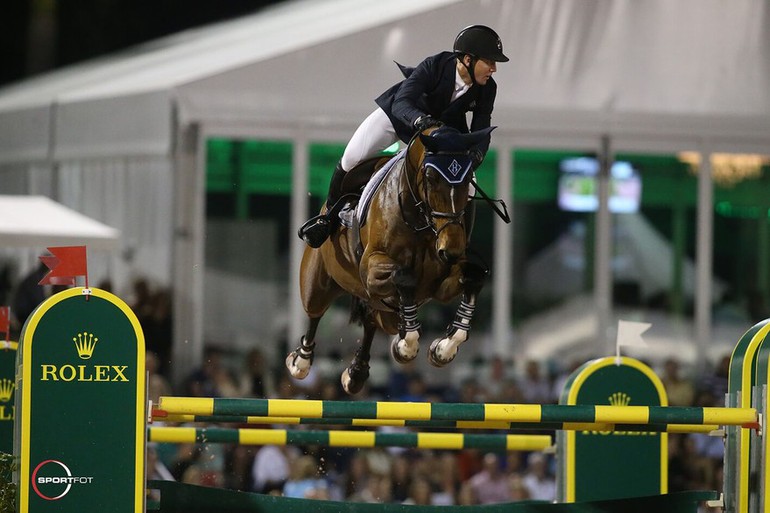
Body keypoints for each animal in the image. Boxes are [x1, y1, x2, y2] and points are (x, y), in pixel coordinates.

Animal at [286, 126, 492, 394]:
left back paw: (356, 374)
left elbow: (474, 277)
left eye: (468, 181)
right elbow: (404, 276)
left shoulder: (438, 285)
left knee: (372, 319)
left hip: (384, 311)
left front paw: (443, 347)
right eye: (430, 178)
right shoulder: (371, 268)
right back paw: (300, 361)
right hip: (317, 283)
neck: (418, 219)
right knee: (315, 313)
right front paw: (408, 344)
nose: (451, 250)